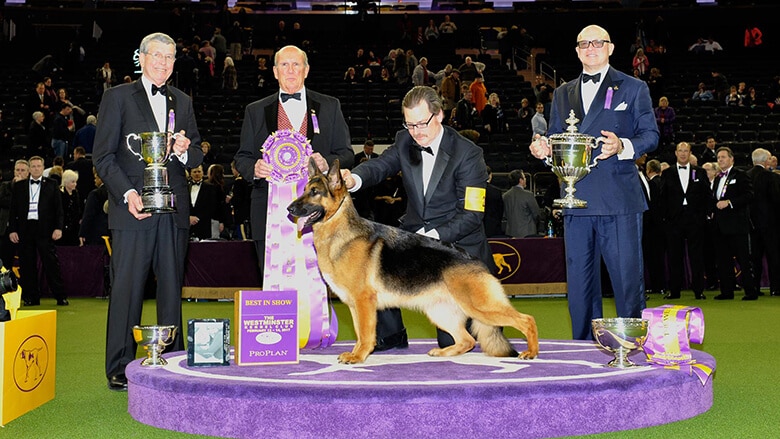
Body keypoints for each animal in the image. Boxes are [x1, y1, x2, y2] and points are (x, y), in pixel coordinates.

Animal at [286, 158, 536, 364]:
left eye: (315, 192)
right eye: (304, 190)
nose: (289, 208)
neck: (339, 232)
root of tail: (476, 261)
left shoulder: (364, 302)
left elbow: (365, 334)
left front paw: (359, 356)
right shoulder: (355, 305)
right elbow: (359, 332)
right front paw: (357, 353)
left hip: (481, 307)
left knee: (527, 320)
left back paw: (531, 352)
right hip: (441, 313)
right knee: (467, 340)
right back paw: (444, 352)